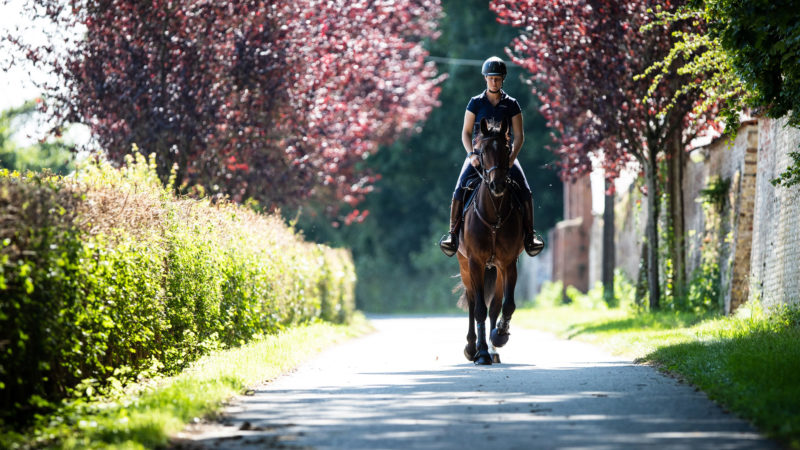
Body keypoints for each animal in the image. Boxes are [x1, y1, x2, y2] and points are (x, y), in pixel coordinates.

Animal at [456, 117, 524, 366]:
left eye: (506, 149)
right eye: (483, 151)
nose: (497, 185)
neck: (494, 215)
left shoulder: (508, 263)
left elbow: (505, 304)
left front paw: (499, 336)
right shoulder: (475, 262)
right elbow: (479, 309)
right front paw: (482, 352)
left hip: (495, 269)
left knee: (494, 305)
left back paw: (493, 348)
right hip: (465, 266)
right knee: (472, 302)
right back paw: (472, 347)